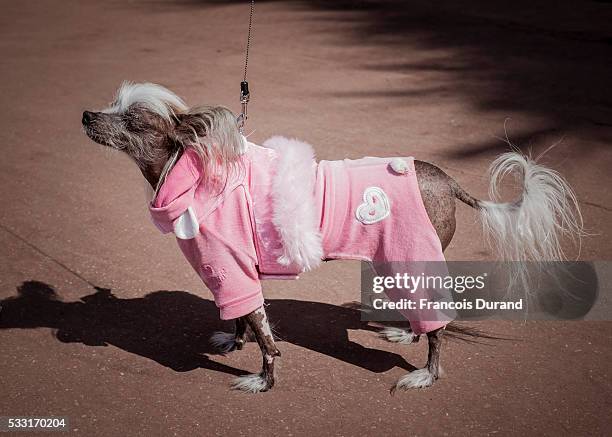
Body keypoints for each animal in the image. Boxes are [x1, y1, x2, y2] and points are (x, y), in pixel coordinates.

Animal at [82, 81, 584, 392]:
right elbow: (244, 320)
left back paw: (426, 375)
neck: (196, 169)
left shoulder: (232, 269)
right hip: (397, 263)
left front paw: (263, 381)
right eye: (112, 105)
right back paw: (407, 336)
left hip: (410, 256)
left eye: (133, 120)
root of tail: (445, 178)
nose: (87, 114)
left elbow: (266, 339)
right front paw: (234, 342)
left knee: (438, 328)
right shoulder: (234, 273)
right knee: (427, 320)